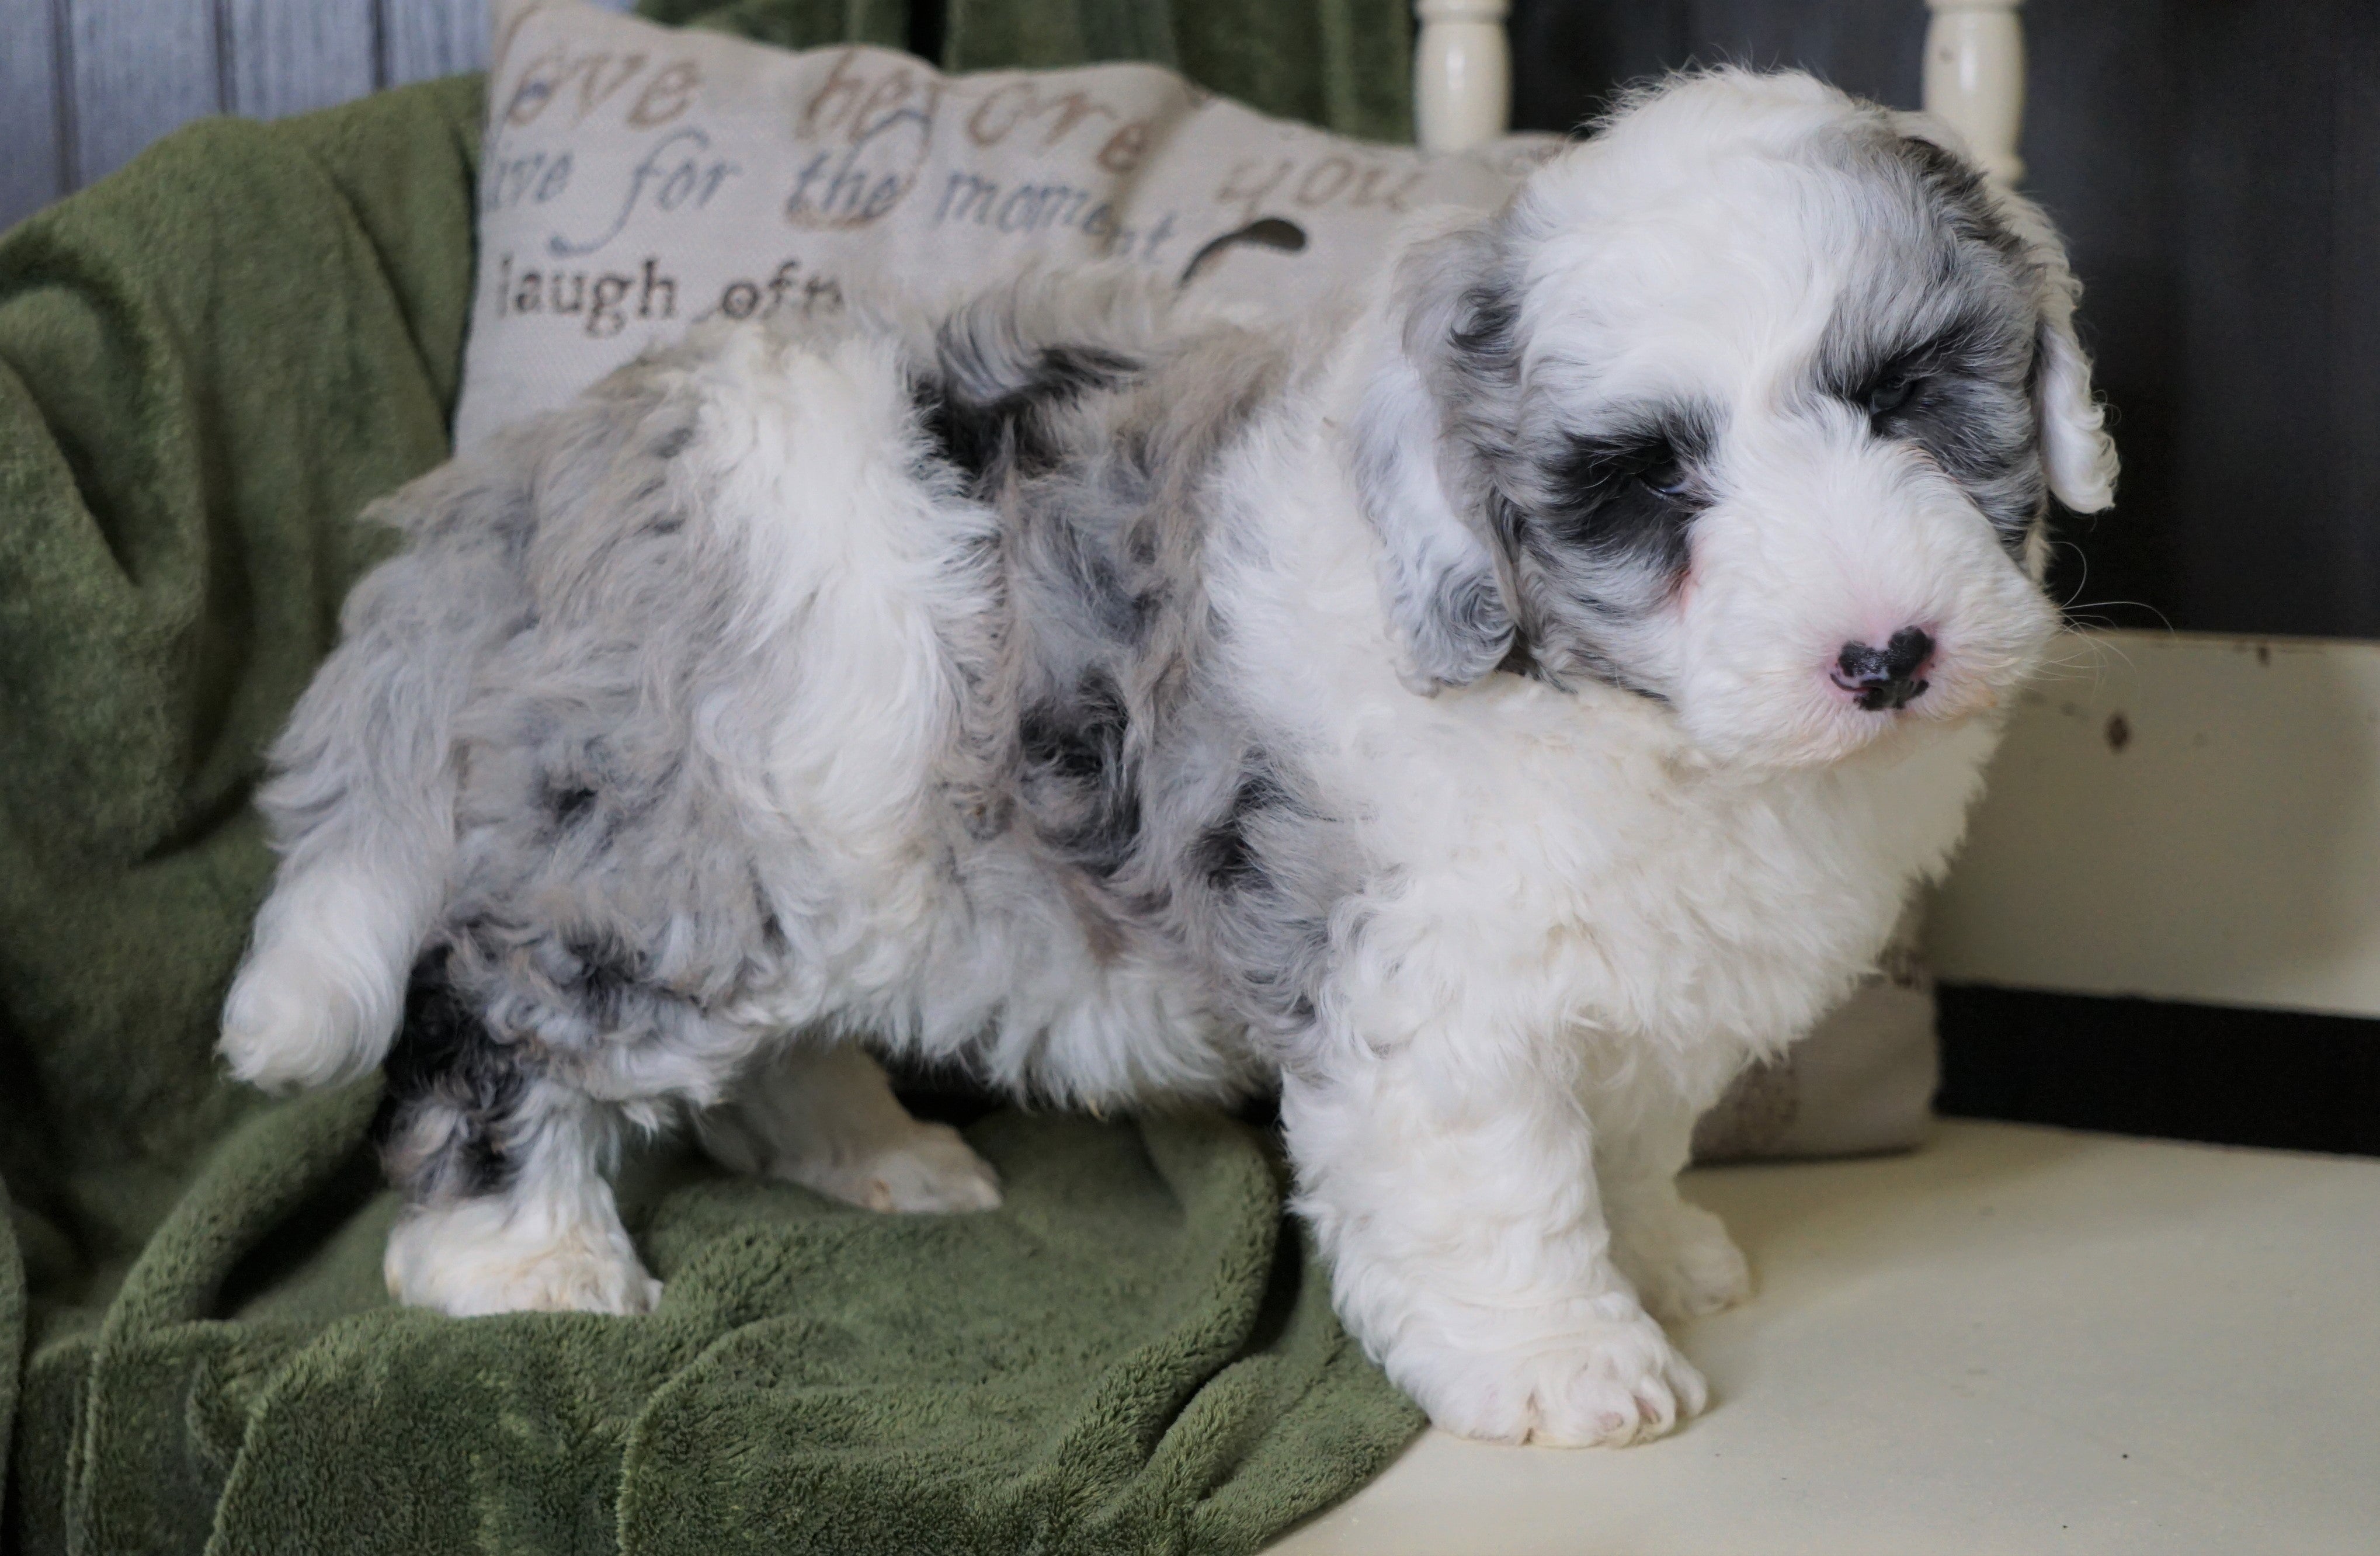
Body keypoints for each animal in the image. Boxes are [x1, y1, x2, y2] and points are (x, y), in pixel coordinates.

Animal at [224, 67, 2122, 1446]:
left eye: (1904, 395)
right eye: (1650, 483)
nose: (1883, 656)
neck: (1591, 697)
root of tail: (551, 463)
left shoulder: (1637, 985)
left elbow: (1634, 1142)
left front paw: (1662, 1258)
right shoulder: (1426, 988)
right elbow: (1500, 1185)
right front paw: (1570, 1364)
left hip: (816, 854)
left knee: (775, 1041)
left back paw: (872, 1153)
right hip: (657, 863)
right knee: (491, 1020)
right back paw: (519, 1262)